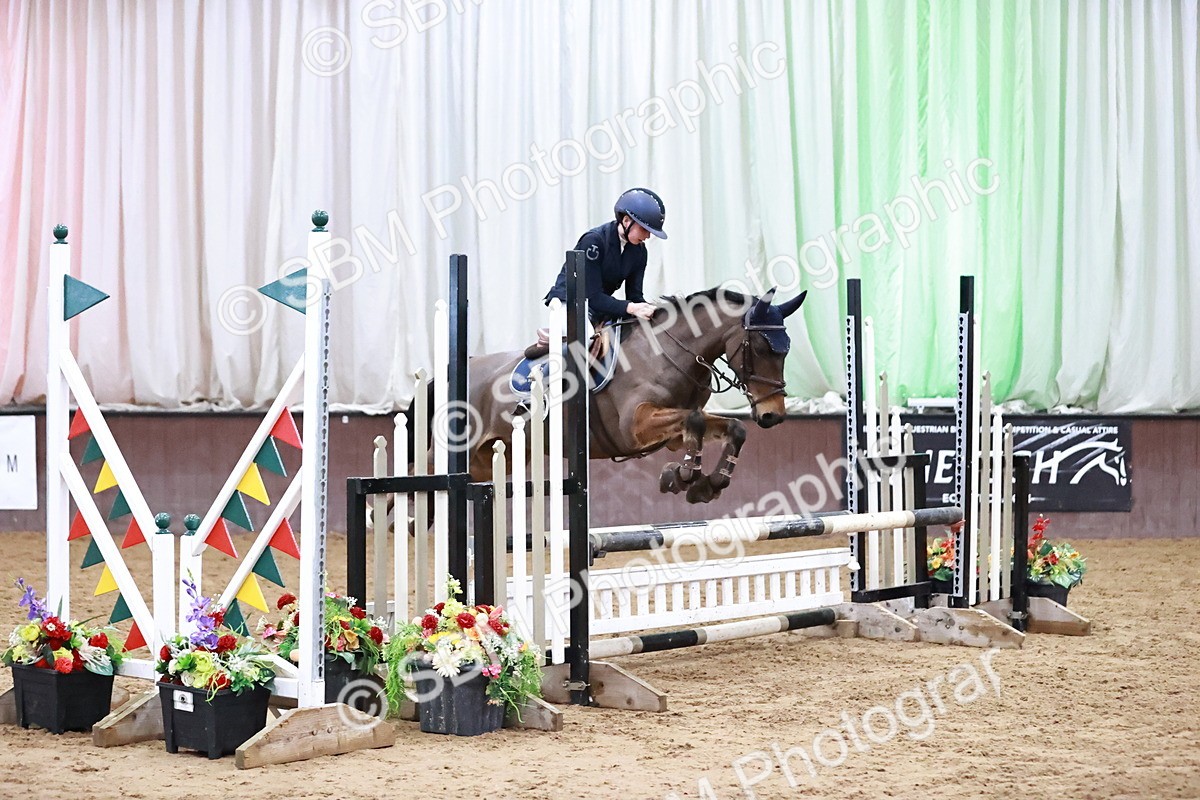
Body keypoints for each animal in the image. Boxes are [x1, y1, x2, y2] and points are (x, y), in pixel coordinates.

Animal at [467, 286, 806, 503]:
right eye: (760, 348)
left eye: (787, 349)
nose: (773, 415)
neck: (668, 354)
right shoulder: (634, 427)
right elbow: (694, 420)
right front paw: (683, 475)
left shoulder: (672, 436)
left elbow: (730, 427)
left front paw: (704, 483)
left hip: (501, 457)